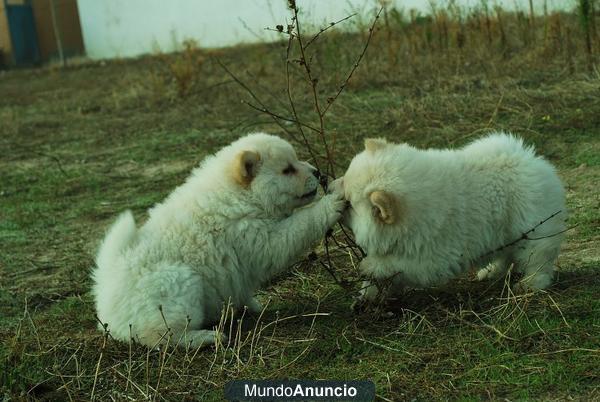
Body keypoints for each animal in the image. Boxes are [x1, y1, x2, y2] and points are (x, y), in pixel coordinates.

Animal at [91, 133, 344, 348]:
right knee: (162, 335)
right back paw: (207, 337)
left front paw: (251, 305)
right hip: (179, 283)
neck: (241, 195)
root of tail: (106, 285)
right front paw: (332, 202)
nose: (318, 173)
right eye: (287, 170)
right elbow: (303, 223)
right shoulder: (263, 238)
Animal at [338, 133, 568, 302]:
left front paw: (368, 266)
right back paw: (489, 271)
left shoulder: (433, 257)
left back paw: (529, 284)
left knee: (538, 259)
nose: (330, 186)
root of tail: (534, 162)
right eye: (343, 179)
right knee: (505, 255)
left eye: (349, 204)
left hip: (533, 229)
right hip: (504, 233)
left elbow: (396, 265)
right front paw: (367, 295)